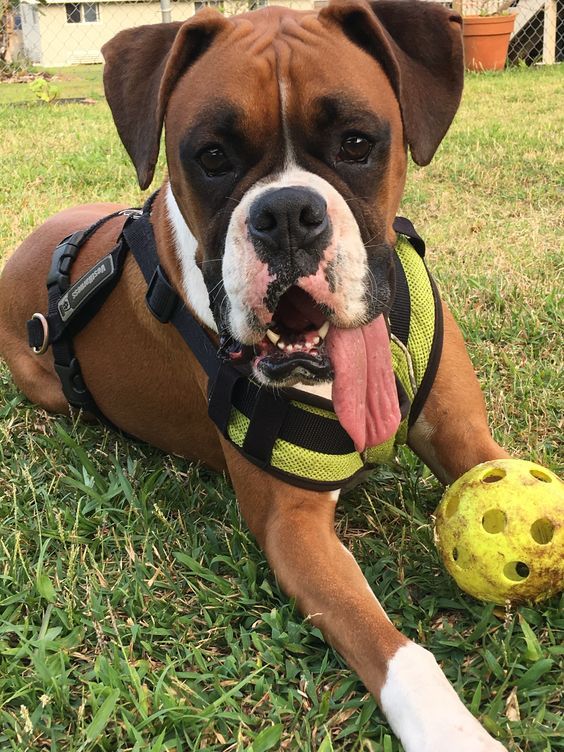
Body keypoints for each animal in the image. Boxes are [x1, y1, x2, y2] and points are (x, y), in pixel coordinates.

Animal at [0, 2, 508, 748]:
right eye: (212, 157)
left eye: (358, 143)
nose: (288, 213)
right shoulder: (292, 530)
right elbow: (392, 647)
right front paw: (453, 730)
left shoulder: (466, 440)